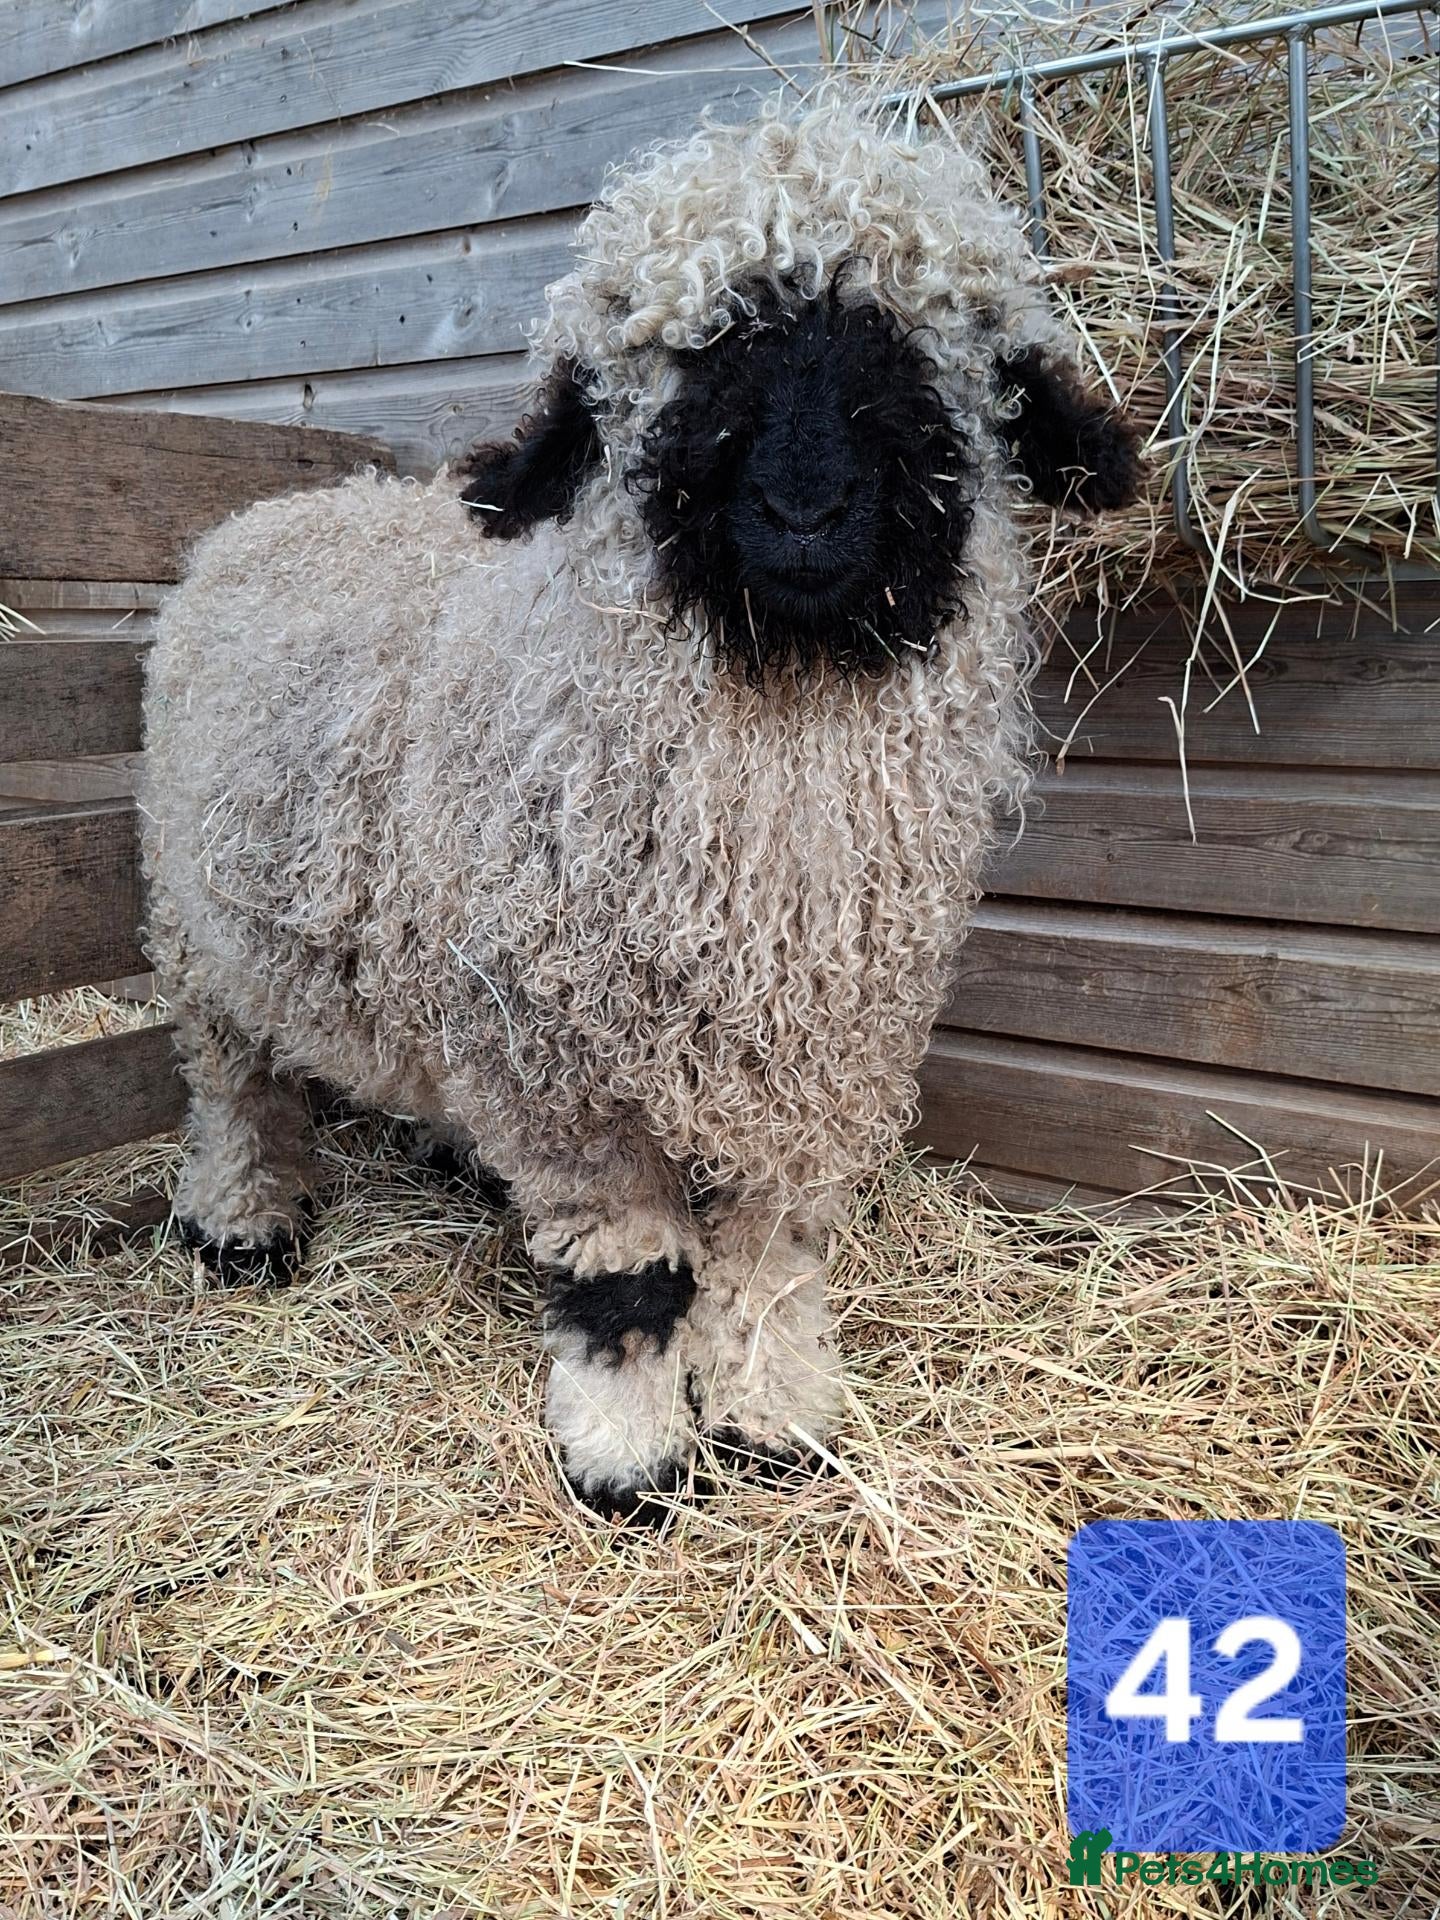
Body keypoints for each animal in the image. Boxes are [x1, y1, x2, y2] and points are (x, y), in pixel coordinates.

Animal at [141, 90, 1139, 1522]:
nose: (803, 509)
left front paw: (771, 1417)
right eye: (686, 356)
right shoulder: (563, 1074)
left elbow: (772, 1253)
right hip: (195, 923)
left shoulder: (819, 1053)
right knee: (232, 1082)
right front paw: (626, 1455)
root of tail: (292, 505)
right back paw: (240, 1222)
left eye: (928, 349)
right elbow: (630, 1274)